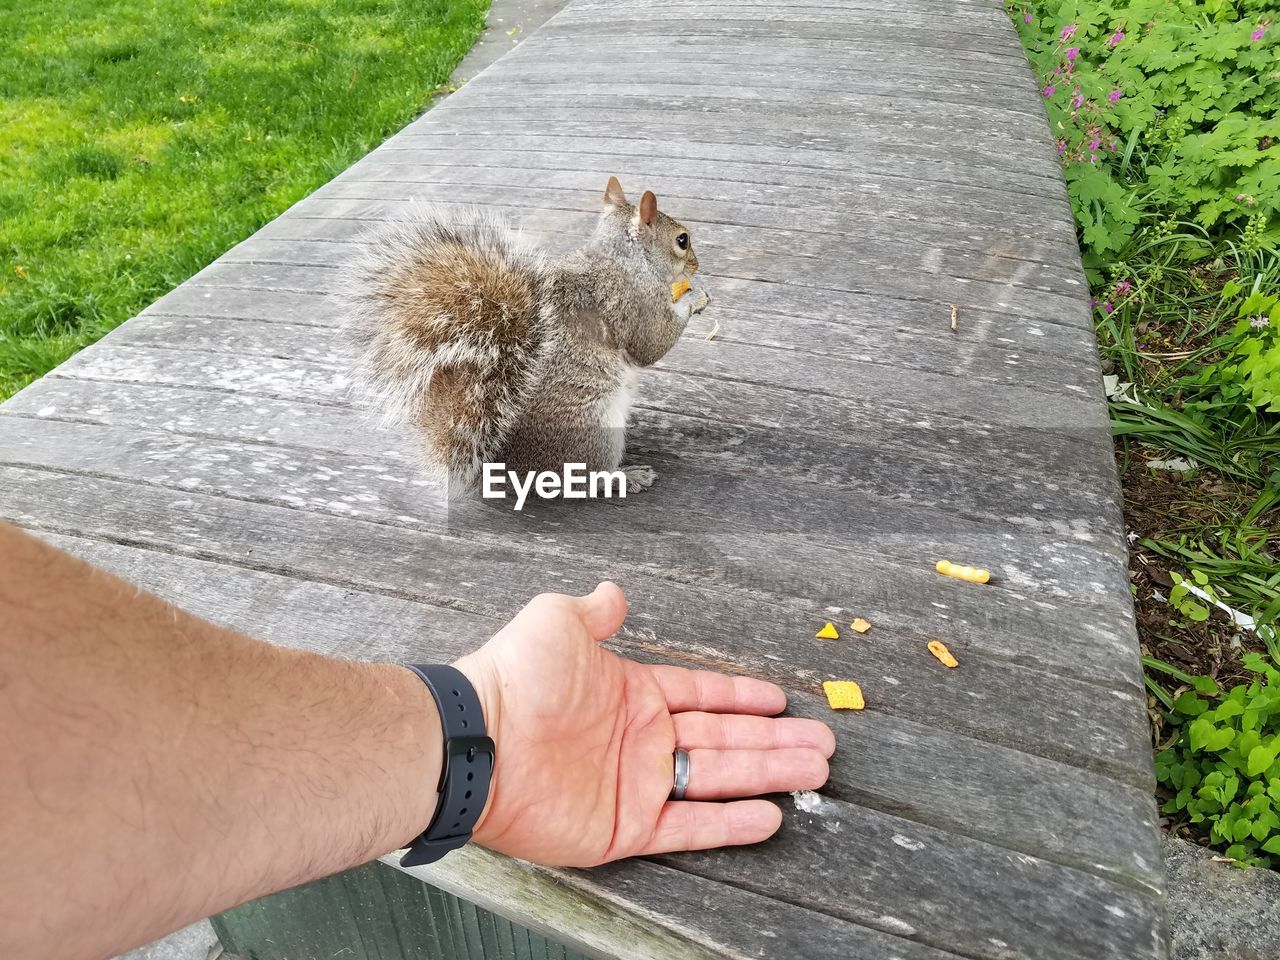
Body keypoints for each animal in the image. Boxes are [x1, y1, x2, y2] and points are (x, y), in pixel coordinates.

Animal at [345, 175, 716, 499]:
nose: (696, 265)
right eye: (682, 240)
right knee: (585, 479)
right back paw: (625, 477)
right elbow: (650, 345)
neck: (621, 260)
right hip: (594, 430)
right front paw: (694, 298)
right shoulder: (631, 304)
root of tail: (510, 472)